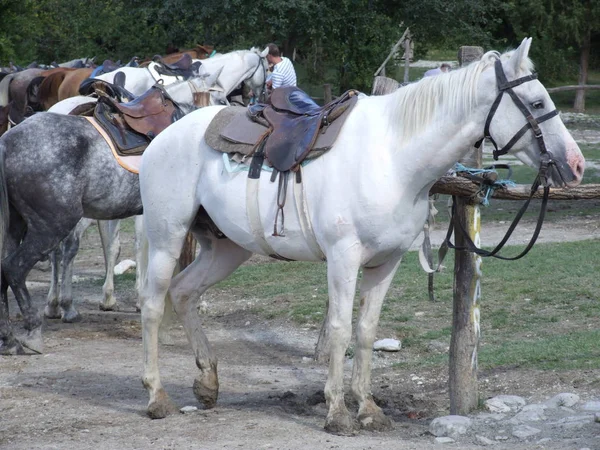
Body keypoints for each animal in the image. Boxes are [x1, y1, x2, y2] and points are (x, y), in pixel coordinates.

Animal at [136, 40, 580, 434]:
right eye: (537, 104)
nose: (575, 165)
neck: (394, 158)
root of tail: (165, 136)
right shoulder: (344, 257)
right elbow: (339, 329)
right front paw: (337, 413)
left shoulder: (387, 261)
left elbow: (366, 330)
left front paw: (367, 408)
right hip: (166, 237)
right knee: (154, 305)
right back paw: (156, 397)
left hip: (226, 248)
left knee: (184, 292)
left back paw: (207, 384)